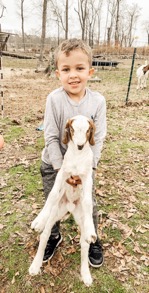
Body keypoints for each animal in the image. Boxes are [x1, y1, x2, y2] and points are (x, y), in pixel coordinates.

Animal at [28, 114, 97, 286]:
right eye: (72, 129)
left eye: (88, 130)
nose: (80, 146)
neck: (77, 157)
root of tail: (70, 208)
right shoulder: (63, 173)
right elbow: (52, 194)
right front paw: (39, 219)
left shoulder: (86, 178)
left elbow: (88, 202)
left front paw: (92, 230)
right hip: (55, 212)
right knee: (45, 235)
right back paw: (35, 265)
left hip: (80, 217)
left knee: (84, 243)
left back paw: (86, 274)